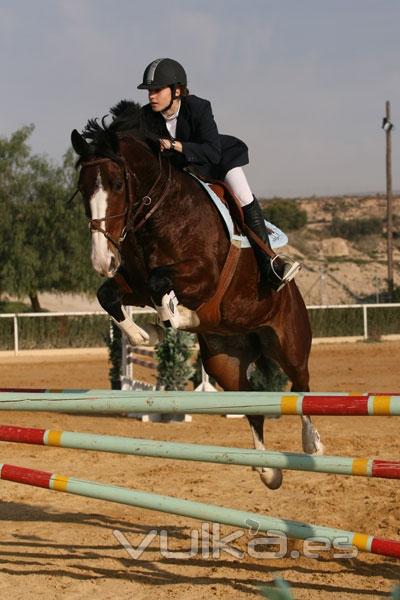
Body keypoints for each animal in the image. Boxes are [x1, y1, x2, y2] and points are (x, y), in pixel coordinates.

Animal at [70, 101, 324, 490]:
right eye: (83, 188)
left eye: (117, 183)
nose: (102, 260)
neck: (162, 211)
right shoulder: (135, 286)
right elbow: (109, 295)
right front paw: (142, 333)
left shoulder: (203, 276)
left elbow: (161, 283)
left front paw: (176, 317)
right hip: (224, 361)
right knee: (251, 406)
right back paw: (268, 470)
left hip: (289, 341)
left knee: (301, 386)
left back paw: (312, 444)